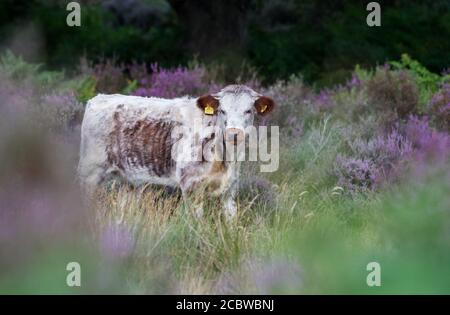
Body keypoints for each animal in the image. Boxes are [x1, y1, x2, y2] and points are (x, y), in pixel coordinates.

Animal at [77, 85, 274, 221]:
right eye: (222, 110)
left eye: (248, 110)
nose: (234, 133)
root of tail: (100, 98)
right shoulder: (190, 185)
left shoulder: (230, 187)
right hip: (89, 173)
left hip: (128, 181)